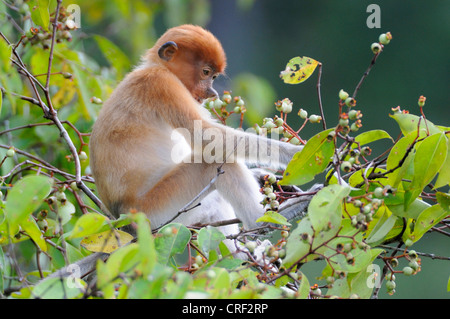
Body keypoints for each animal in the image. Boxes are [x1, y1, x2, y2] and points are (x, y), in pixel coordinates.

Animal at [89, 25, 302, 242]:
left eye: (213, 77)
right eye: (205, 72)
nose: (212, 93)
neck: (158, 67)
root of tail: (121, 219)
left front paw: (262, 176)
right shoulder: (162, 84)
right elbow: (208, 136)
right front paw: (296, 154)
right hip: (155, 211)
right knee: (215, 162)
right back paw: (261, 221)